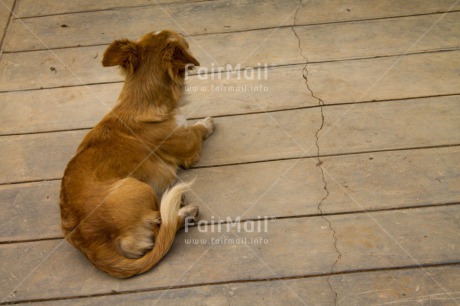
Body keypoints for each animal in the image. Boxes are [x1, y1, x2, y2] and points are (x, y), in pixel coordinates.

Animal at [58, 30, 214, 278]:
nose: (183, 32)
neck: (140, 102)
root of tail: (90, 244)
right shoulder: (188, 145)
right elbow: (197, 130)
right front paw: (206, 123)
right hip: (139, 187)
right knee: (162, 227)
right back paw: (183, 211)